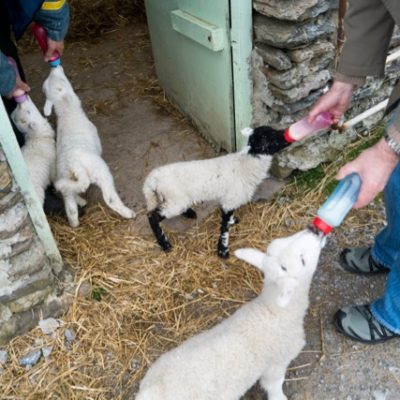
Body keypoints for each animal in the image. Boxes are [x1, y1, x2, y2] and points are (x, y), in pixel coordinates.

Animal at [42, 66, 135, 228]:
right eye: (61, 79)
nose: (56, 66)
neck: (68, 112)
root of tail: (76, 167)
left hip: (65, 181)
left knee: (71, 208)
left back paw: (75, 223)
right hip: (101, 172)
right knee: (110, 199)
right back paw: (128, 213)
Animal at [136, 227, 326, 400]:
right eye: (302, 260)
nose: (314, 230)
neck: (273, 311)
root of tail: (149, 391)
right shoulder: (277, 363)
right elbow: (274, 386)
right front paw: (280, 397)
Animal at [142, 125, 290, 258]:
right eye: (272, 137)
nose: (287, 134)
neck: (246, 165)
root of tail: (152, 178)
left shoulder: (229, 200)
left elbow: (228, 219)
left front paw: (233, 221)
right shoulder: (230, 200)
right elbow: (224, 228)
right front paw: (223, 250)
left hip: (172, 199)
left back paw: (189, 212)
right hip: (175, 200)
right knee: (152, 216)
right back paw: (165, 244)